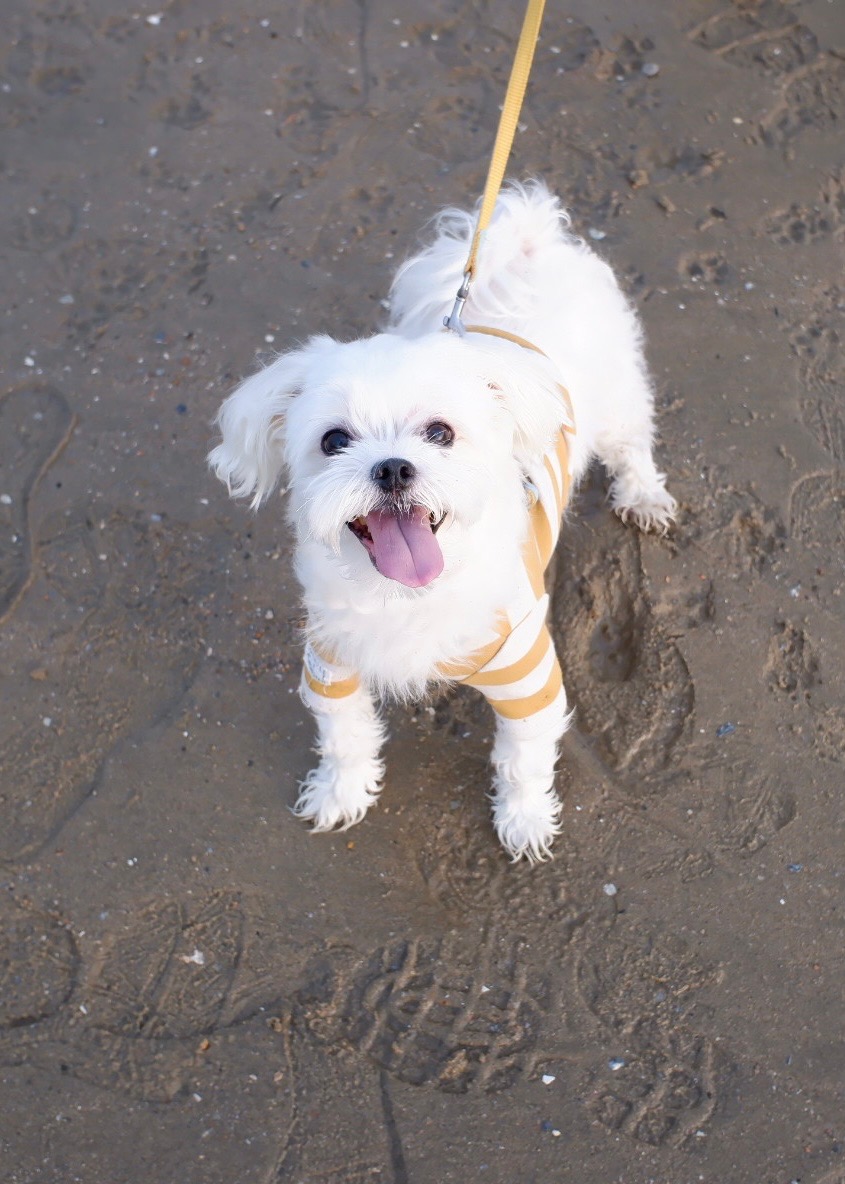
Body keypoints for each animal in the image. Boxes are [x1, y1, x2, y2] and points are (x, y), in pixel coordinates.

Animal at [208, 181, 676, 861]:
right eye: (333, 441)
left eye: (440, 433)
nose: (393, 468)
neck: (405, 597)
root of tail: (525, 244)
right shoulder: (332, 666)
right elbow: (345, 739)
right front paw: (339, 793)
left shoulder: (529, 678)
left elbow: (522, 763)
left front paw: (524, 821)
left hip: (618, 401)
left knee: (632, 445)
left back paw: (643, 495)